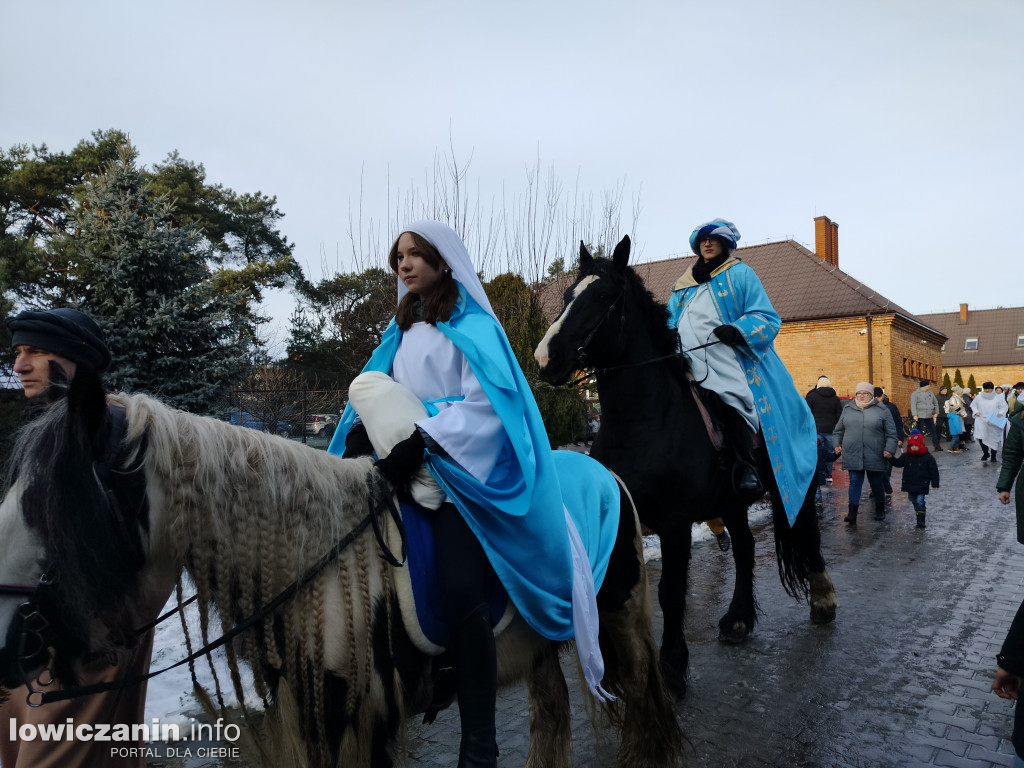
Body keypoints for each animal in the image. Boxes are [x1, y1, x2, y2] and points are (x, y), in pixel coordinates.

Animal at [2, 370, 688, 765]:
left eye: (51, 505)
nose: (10, 641)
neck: (315, 561)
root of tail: (603, 470)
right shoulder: (335, 719)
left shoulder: (349, 716)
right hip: (540, 643)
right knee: (552, 715)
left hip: (619, 617)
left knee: (643, 708)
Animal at [532, 236, 835, 696]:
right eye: (567, 296)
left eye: (602, 297)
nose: (545, 358)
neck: (642, 420)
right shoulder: (622, 519)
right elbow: (614, 591)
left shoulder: (674, 523)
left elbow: (671, 593)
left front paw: (673, 668)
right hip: (732, 501)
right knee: (745, 548)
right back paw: (738, 619)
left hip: (793, 487)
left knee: (806, 535)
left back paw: (822, 599)